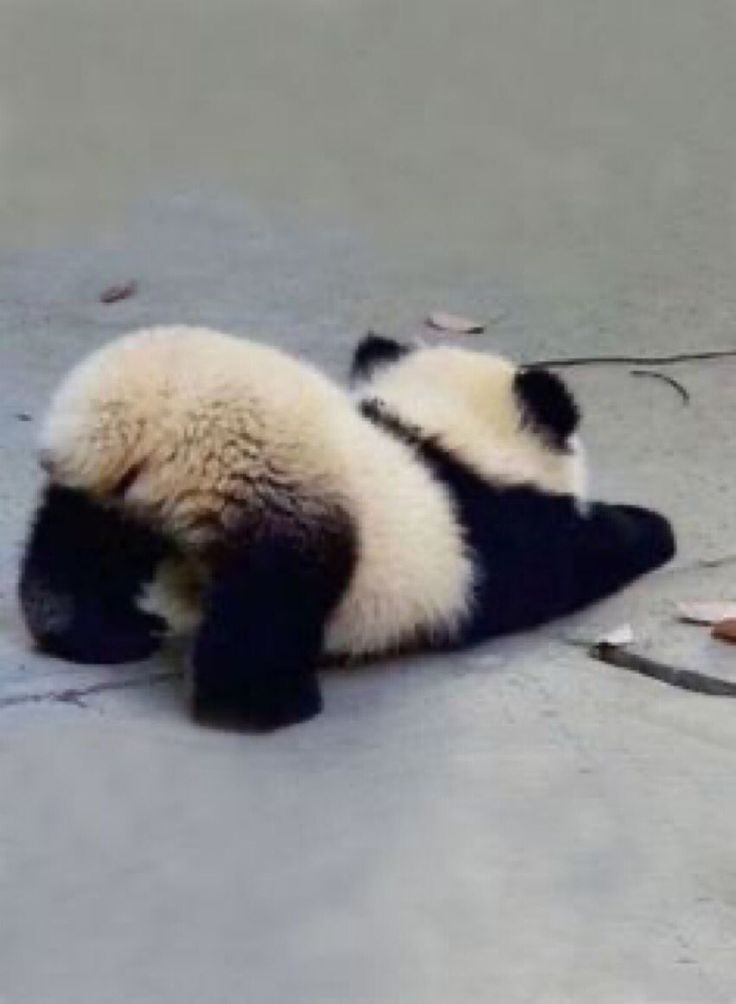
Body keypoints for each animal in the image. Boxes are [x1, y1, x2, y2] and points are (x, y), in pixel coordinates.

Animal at [18, 326, 675, 729]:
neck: (444, 429)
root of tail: (140, 429)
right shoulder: (498, 531)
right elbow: (568, 563)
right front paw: (650, 528)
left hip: (109, 496)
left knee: (77, 550)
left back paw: (101, 633)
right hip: (279, 498)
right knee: (271, 604)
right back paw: (267, 704)